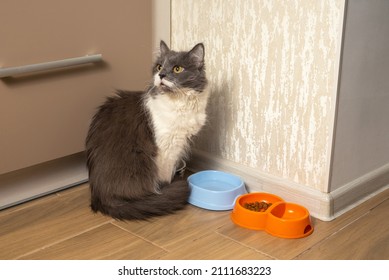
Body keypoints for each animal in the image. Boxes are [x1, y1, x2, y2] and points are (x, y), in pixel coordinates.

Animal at [85, 41, 209, 220]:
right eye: (159, 67)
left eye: (177, 69)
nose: (161, 75)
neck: (179, 102)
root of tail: (101, 197)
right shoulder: (168, 147)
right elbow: (166, 173)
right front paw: (166, 186)